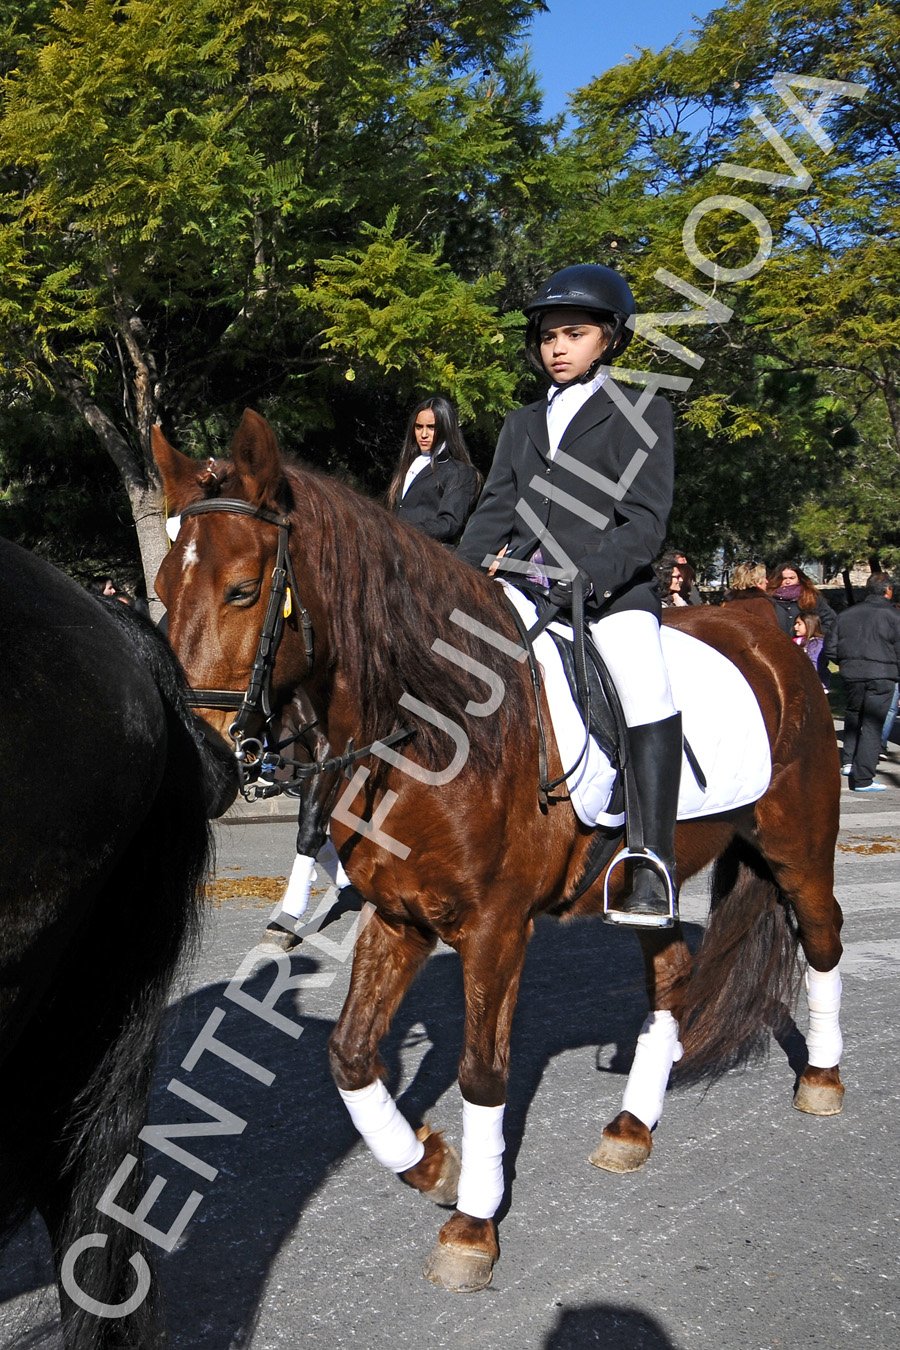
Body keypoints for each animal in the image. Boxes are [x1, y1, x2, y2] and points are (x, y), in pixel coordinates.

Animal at [151, 413, 847, 1296]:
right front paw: (431, 1163)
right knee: (673, 974)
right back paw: (633, 1123)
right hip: (649, 885)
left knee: (821, 939)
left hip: (798, 847)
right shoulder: (400, 915)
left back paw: (821, 1079)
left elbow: (484, 1071)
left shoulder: (494, 929)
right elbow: (349, 1056)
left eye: (243, 590)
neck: (431, 730)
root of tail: (764, 628)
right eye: (160, 591)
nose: (199, 765)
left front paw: (473, 1226)